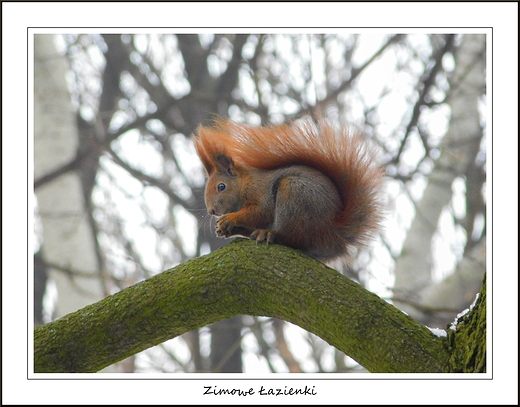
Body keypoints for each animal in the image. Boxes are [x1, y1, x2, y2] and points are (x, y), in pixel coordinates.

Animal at [193, 116, 384, 262]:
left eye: (221, 186)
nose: (212, 211)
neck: (245, 184)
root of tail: (332, 233)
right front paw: (224, 228)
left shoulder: (260, 192)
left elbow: (260, 212)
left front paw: (229, 219)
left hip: (293, 194)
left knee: (292, 238)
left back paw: (268, 234)